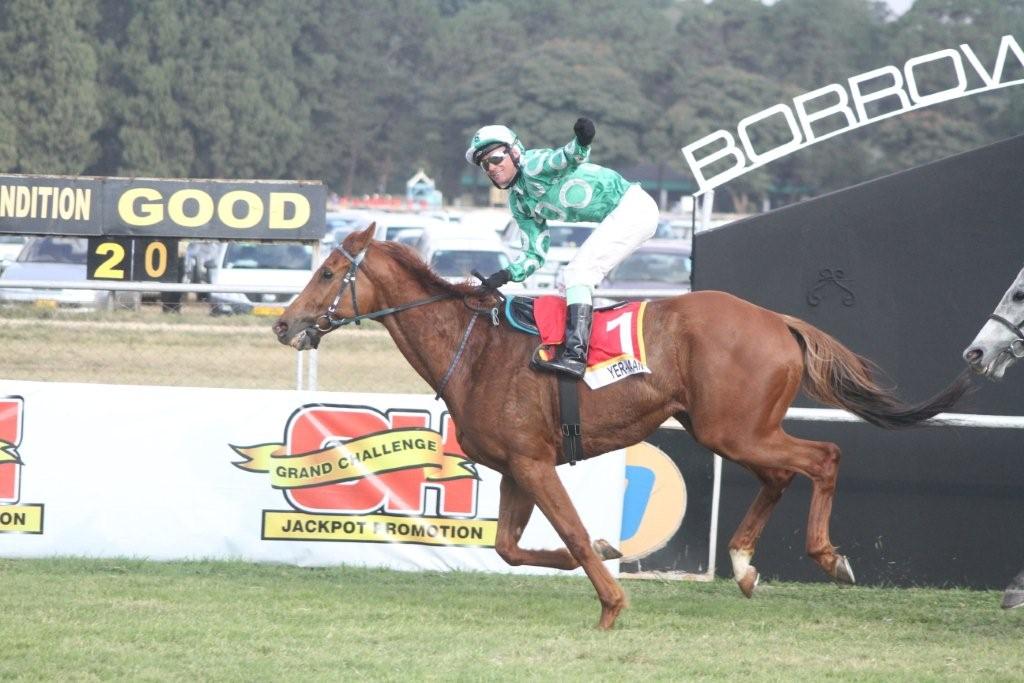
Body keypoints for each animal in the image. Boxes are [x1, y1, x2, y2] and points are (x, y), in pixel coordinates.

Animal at [273, 223, 971, 629]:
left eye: (329, 273)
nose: (284, 324)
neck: (474, 350)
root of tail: (777, 320)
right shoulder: (515, 467)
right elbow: (510, 548)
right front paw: (612, 555)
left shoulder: (534, 463)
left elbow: (574, 535)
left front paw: (611, 606)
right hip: (724, 429)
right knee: (780, 476)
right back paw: (743, 564)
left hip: (735, 429)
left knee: (823, 455)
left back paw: (828, 557)